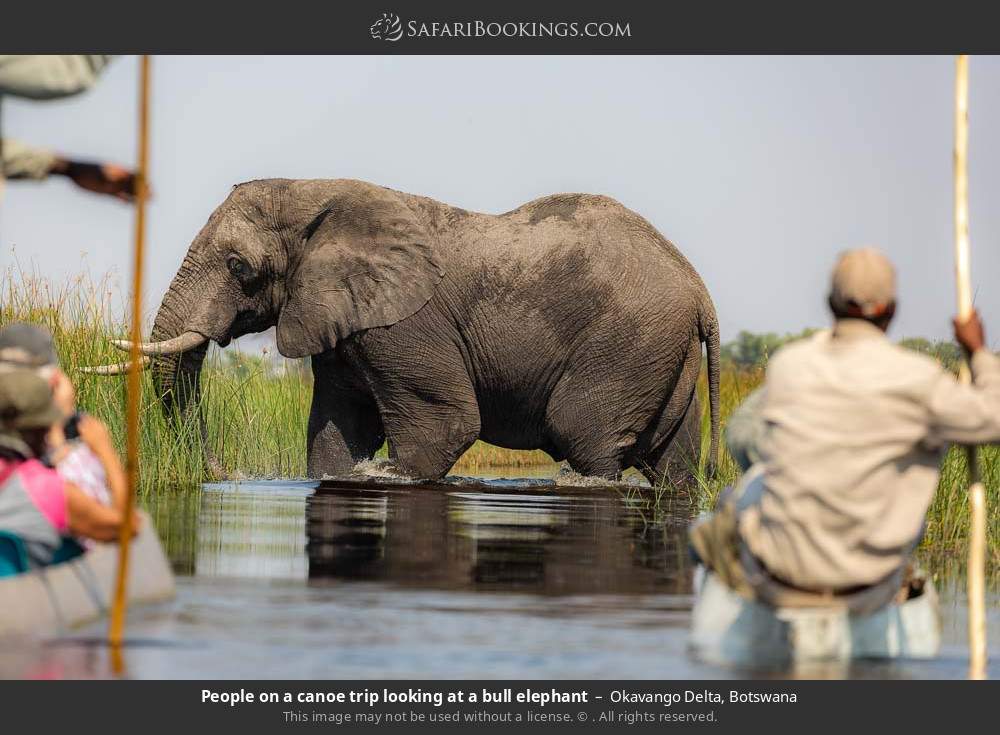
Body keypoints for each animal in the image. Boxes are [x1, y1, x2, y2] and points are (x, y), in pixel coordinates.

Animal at [86, 180, 720, 484]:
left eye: (239, 267)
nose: (222, 474)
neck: (314, 193)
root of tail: (698, 288)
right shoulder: (343, 321)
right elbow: (335, 433)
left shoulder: (406, 322)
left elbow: (447, 423)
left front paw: (385, 474)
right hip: (661, 352)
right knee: (671, 460)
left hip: (626, 342)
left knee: (583, 437)